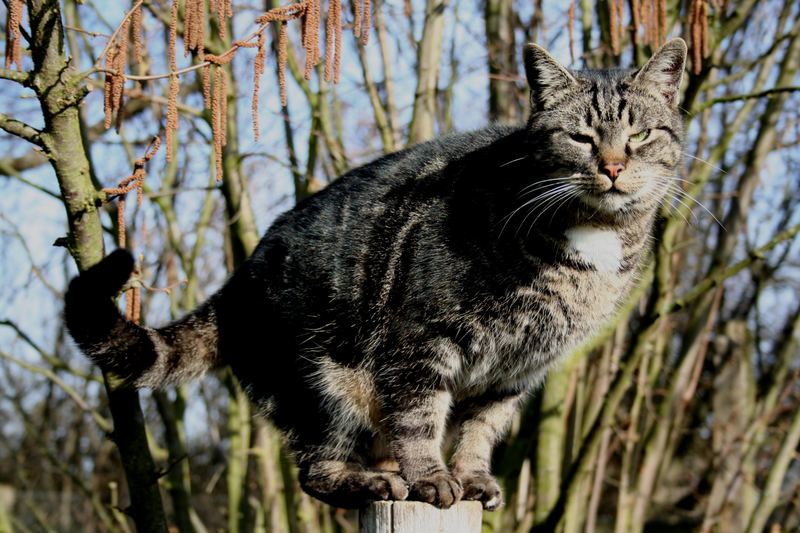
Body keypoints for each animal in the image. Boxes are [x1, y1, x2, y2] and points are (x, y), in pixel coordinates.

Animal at [64, 39, 688, 510]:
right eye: (581, 137)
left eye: (639, 135)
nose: (613, 166)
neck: (591, 246)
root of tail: (237, 282)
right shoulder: (420, 340)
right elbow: (419, 415)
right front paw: (433, 477)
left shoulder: (514, 373)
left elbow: (481, 430)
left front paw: (472, 477)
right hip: (323, 385)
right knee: (317, 471)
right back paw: (379, 481)